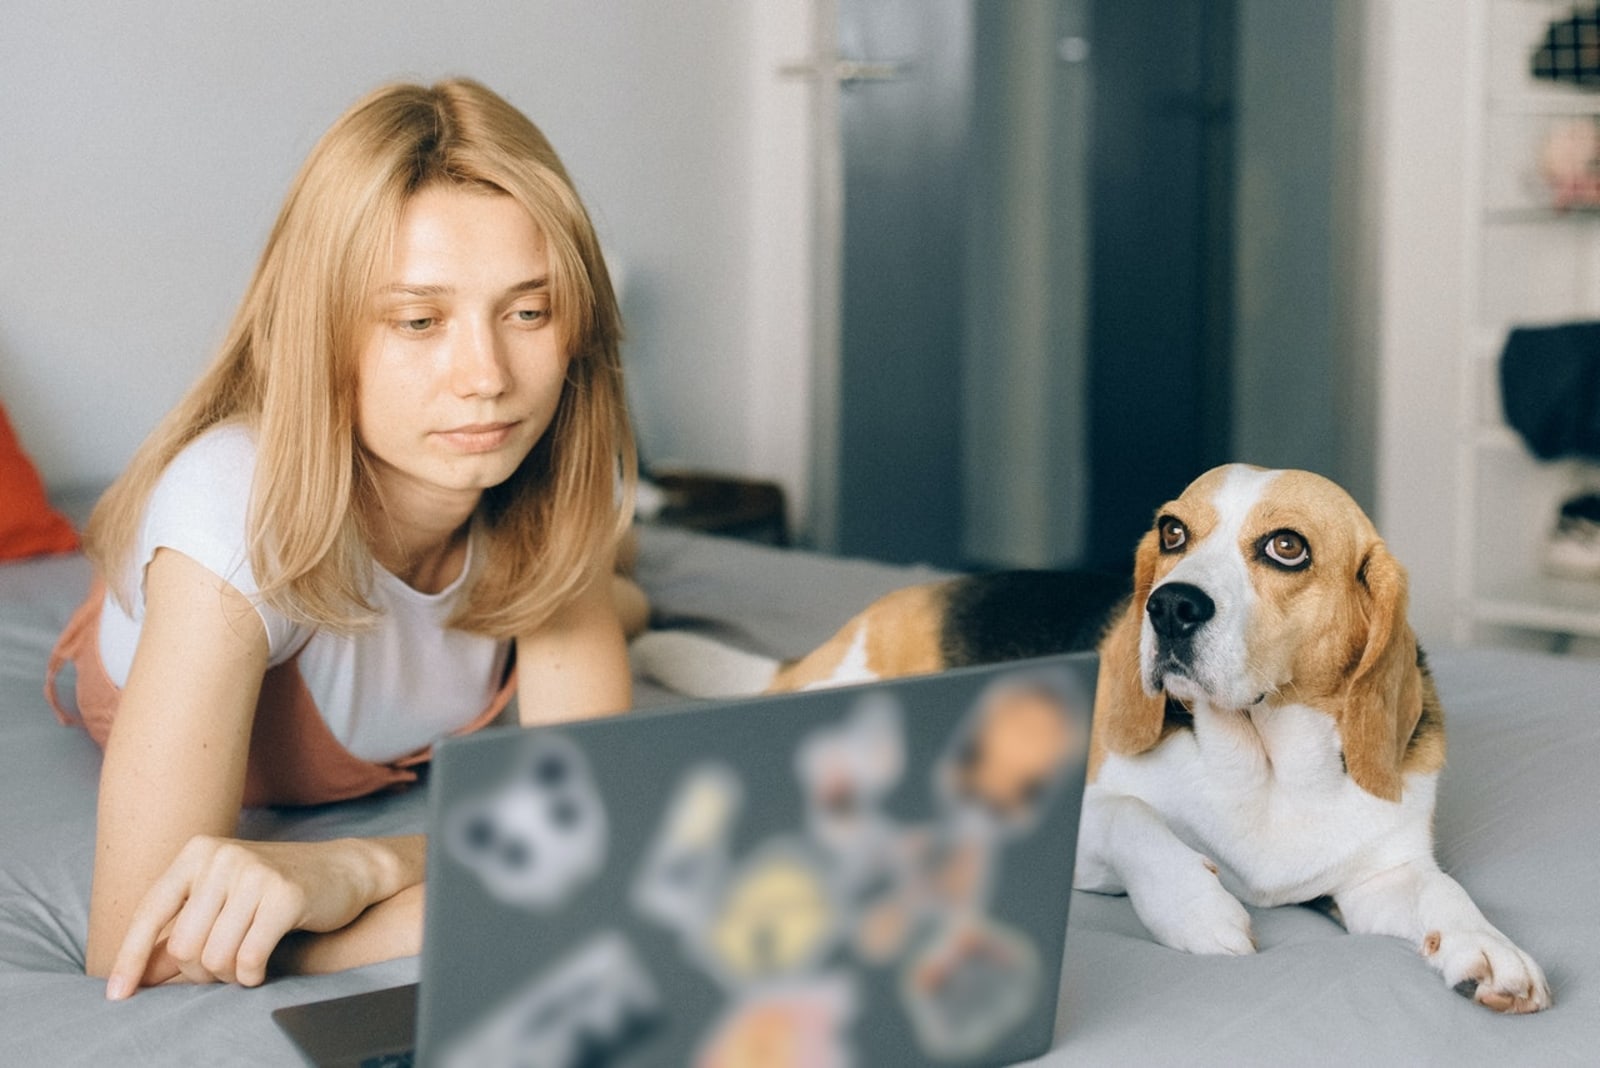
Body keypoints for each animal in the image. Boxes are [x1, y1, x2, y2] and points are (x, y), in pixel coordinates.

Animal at [636, 463, 1548, 1010]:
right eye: (1174, 532)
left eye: (1287, 547)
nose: (1170, 606)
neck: (1264, 767)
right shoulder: (1078, 828)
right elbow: (1129, 818)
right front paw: (1196, 906)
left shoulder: (1375, 878)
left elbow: (1443, 893)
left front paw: (1489, 948)